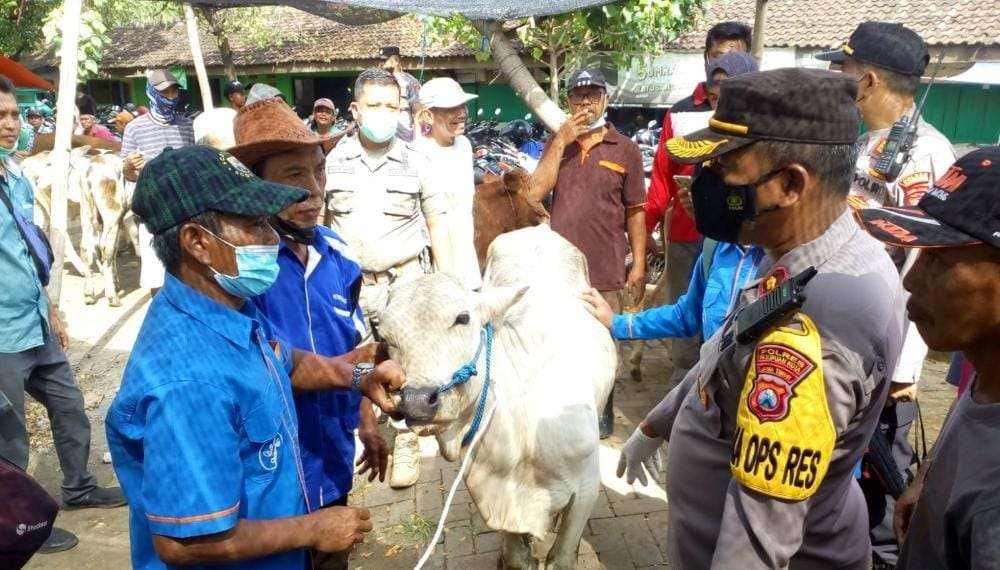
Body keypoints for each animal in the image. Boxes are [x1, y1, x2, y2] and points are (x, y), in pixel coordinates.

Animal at [380, 224, 616, 564]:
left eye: (463, 318)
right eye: (385, 337)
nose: (418, 402)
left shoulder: (585, 489)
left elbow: (561, 557)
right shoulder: (500, 501)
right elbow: (517, 556)